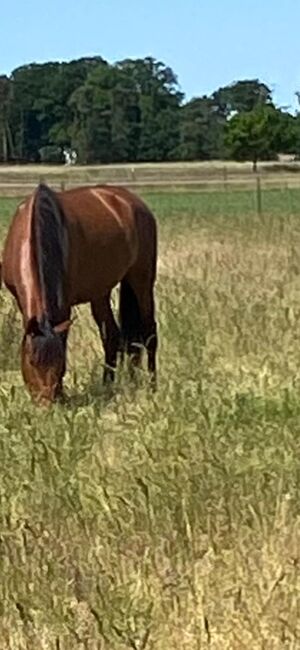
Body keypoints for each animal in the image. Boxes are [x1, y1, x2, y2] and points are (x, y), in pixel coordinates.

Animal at [1, 182, 158, 402]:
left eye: (59, 361)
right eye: (31, 361)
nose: (46, 404)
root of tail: (134, 202)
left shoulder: (63, 307)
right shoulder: (21, 301)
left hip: (142, 281)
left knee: (149, 332)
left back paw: (152, 386)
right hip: (100, 292)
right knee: (112, 336)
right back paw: (109, 385)